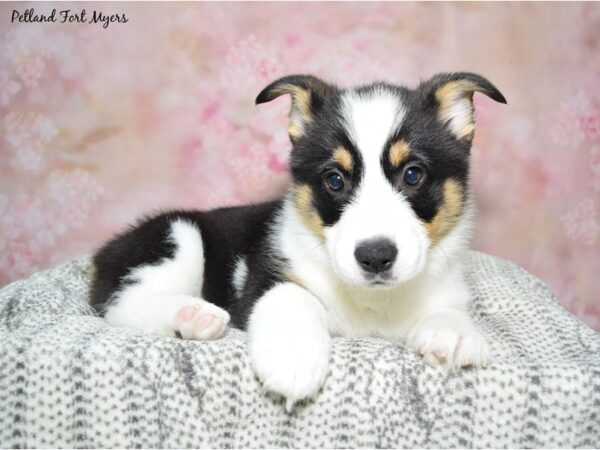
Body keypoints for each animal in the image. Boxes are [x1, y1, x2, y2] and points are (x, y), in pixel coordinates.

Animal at [90, 72, 506, 410]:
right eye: (334, 180)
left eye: (414, 174)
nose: (375, 257)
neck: (372, 301)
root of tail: (103, 253)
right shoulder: (266, 276)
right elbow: (293, 298)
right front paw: (293, 359)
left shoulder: (446, 286)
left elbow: (450, 310)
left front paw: (452, 335)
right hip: (179, 235)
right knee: (119, 304)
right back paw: (193, 316)